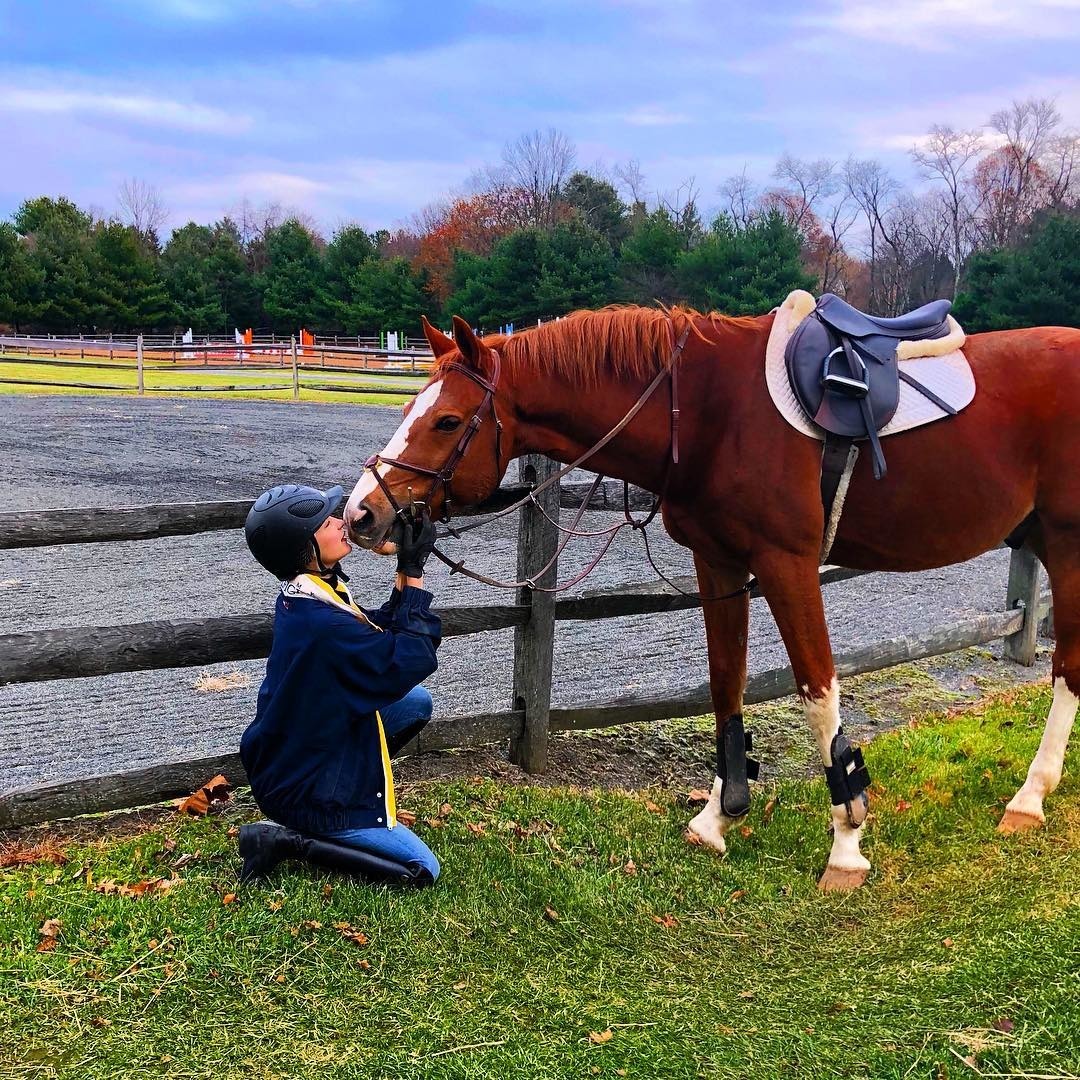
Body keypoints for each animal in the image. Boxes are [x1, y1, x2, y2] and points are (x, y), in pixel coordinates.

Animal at [345, 304, 1080, 885]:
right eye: (409, 410)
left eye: (445, 421)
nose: (361, 515)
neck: (705, 411)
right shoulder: (719, 563)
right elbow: (726, 681)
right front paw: (718, 819)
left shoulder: (787, 566)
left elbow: (818, 693)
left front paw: (846, 842)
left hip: (1068, 547)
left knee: (1067, 670)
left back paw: (1030, 796)